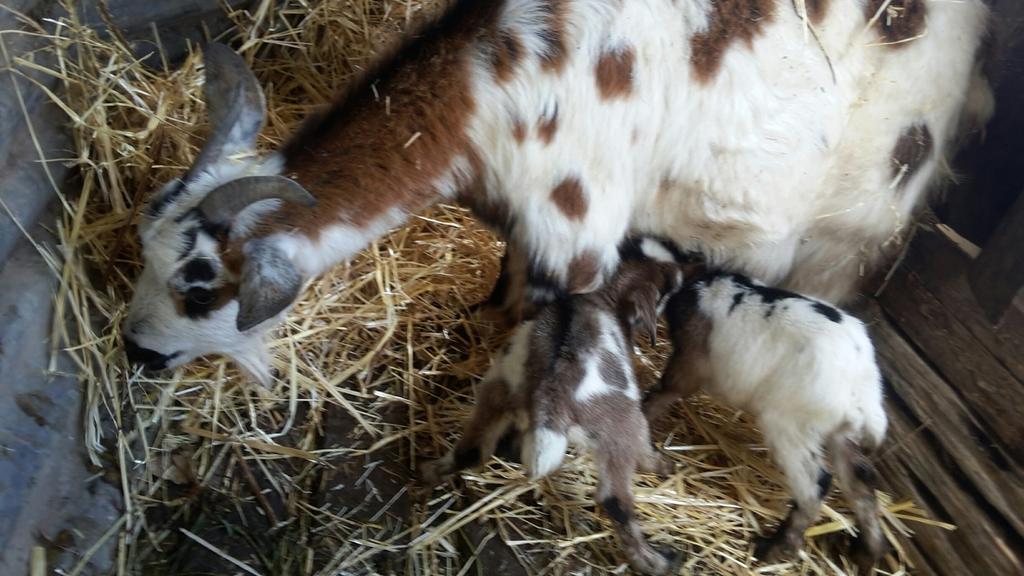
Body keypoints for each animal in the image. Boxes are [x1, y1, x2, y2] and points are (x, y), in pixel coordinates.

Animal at [121, 1, 991, 381]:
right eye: (142, 246)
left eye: (199, 284)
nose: (136, 350)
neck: (490, 86)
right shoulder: (524, 219)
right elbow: (504, 290)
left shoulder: (578, 229)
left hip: (859, 219)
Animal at [419, 259, 684, 569]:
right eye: (664, 288)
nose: (679, 273)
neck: (601, 297)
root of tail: (550, 393)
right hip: (622, 422)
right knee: (614, 499)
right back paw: (656, 560)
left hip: (496, 392)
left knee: (471, 450)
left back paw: (428, 473)